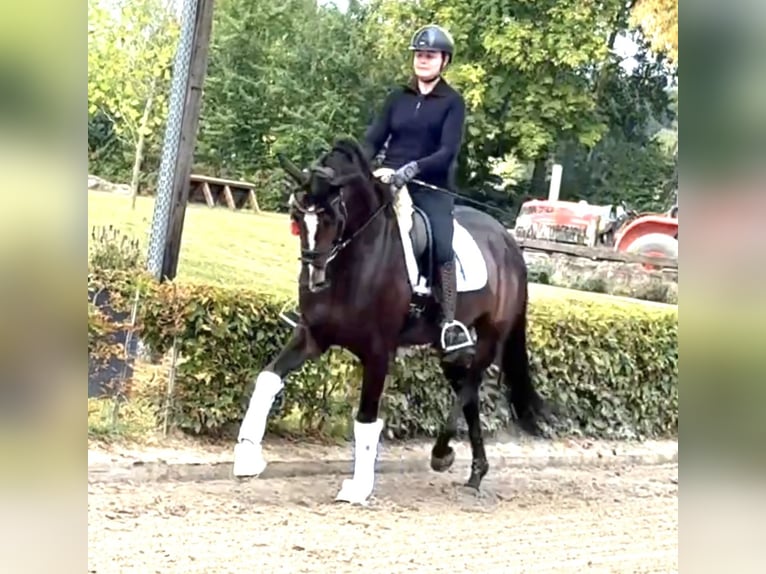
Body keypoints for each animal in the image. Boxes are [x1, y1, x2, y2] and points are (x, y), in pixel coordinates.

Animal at [233, 136, 550, 505]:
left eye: (332, 216)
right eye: (297, 215)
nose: (314, 279)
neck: (353, 262)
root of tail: (509, 241)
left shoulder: (378, 351)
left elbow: (366, 418)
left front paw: (358, 488)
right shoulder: (312, 335)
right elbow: (268, 379)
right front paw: (247, 456)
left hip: (490, 336)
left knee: (470, 388)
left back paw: (442, 454)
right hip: (448, 348)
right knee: (468, 396)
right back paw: (474, 473)